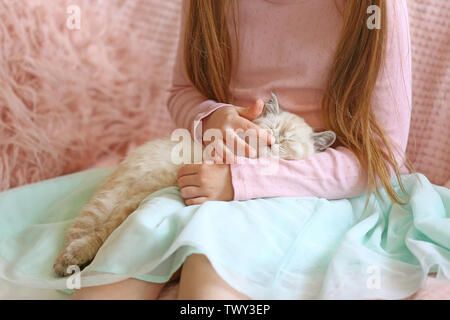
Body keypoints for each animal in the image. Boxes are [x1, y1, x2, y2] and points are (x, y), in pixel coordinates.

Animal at [52, 92, 334, 276]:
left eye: (287, 140)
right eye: (270, 130)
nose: (271, 142)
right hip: (126, 197)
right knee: (96, 231)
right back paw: (68, 261)